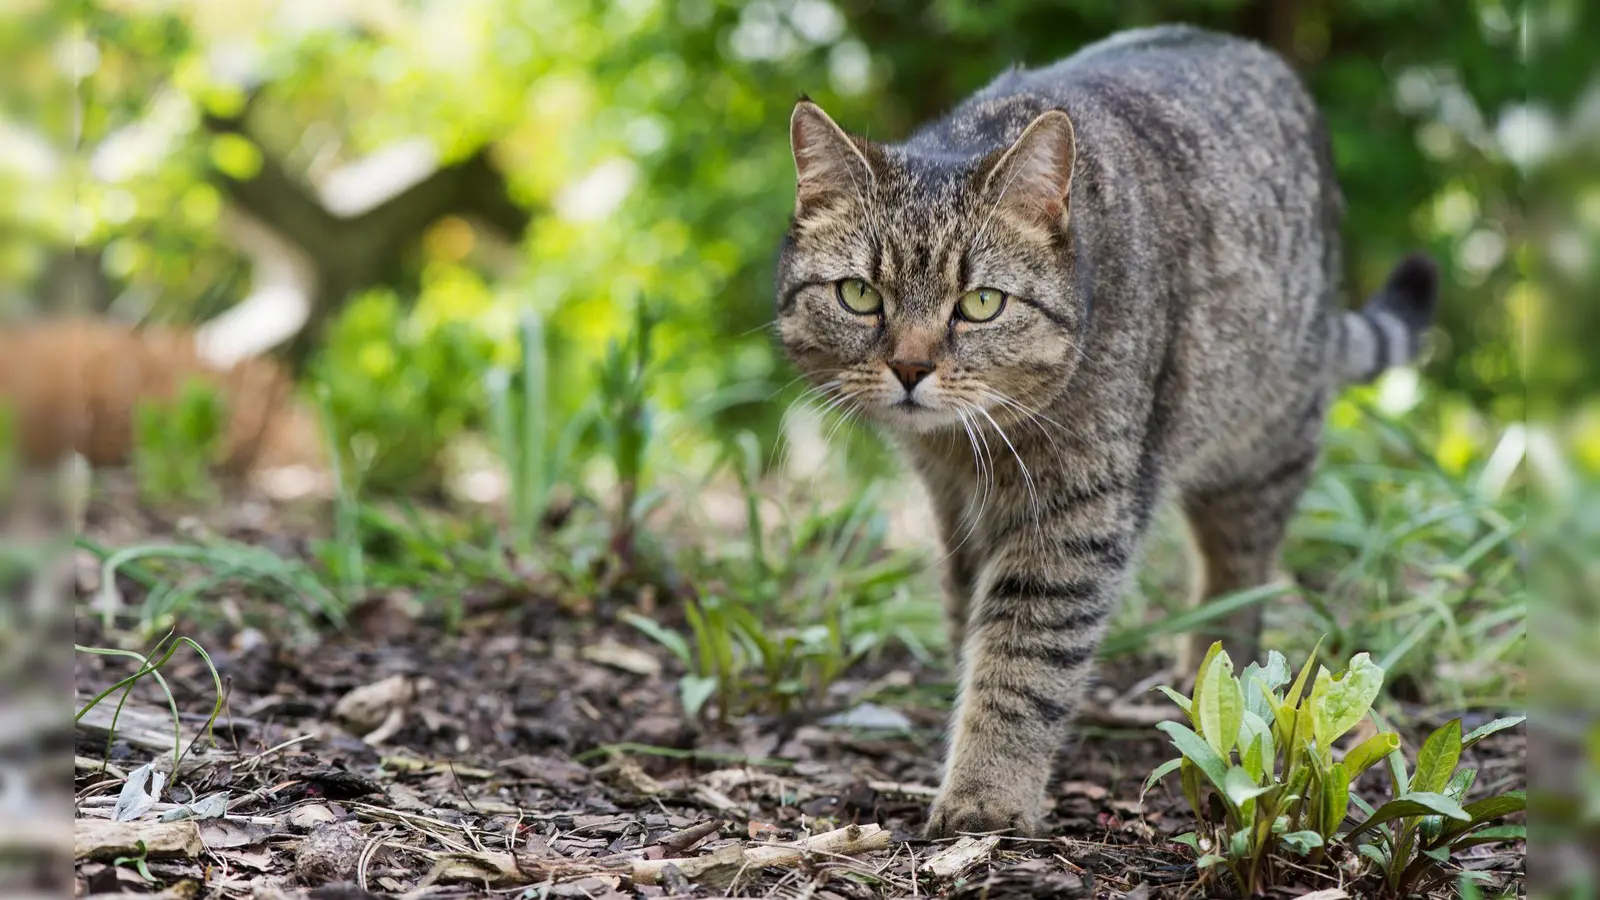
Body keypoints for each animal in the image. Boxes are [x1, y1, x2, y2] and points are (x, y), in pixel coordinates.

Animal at [774, 24, 1440, 839]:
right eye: (860, 296)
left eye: (982, 303)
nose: (909, 367)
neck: (970, 448)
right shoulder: (952, 504)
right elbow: (971, 622)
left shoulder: (1076, 515)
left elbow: (1023, 661)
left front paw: (987, 794)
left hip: (1260, 451)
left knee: (1238, 580)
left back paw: (1217, 686)